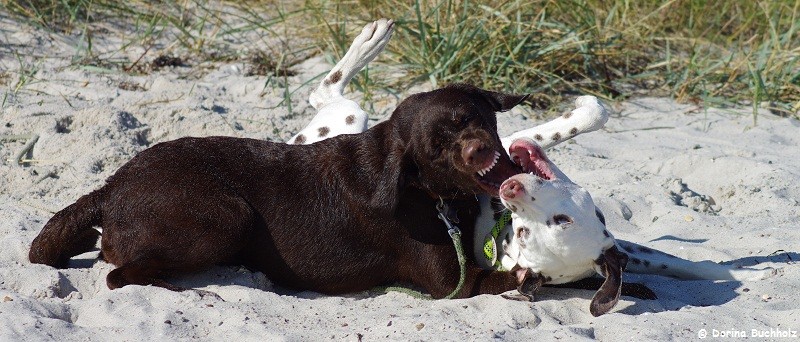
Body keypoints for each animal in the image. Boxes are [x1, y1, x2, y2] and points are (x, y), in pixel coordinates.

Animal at [29, 84, 536, 298]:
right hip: (226, 217)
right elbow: (502, 280)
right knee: (118, 276)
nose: (475, 151)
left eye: (470, 117)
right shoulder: (453, 283)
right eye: (435, 149)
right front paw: (528, 279)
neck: (427, 191)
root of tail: (110, 185)